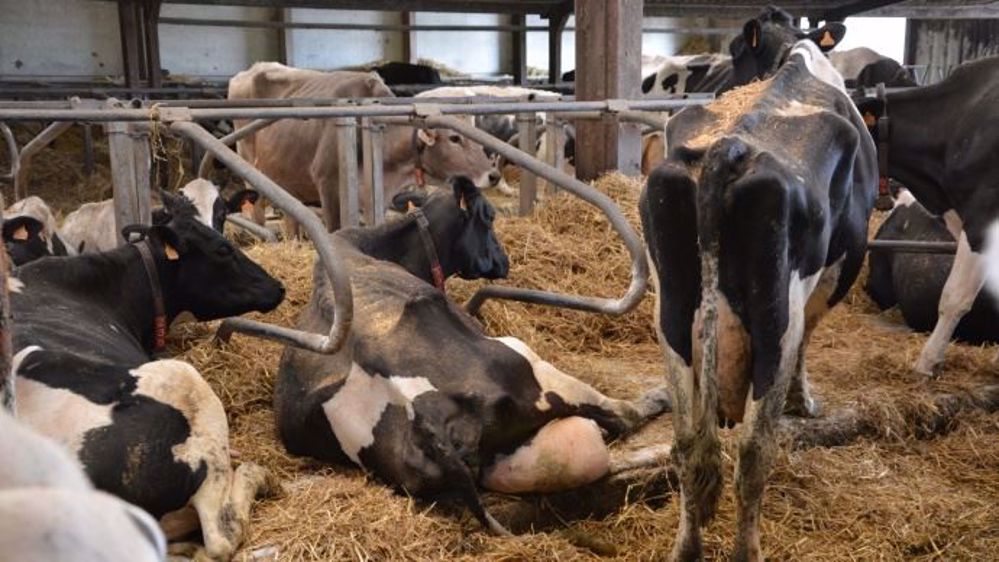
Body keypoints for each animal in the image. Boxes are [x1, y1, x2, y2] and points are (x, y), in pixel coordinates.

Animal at [228, 62, 498, 235]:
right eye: (454, 138)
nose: (493, 175)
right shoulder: (327, 183)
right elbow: (335, 230)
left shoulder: (378, 192)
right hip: (250, 168)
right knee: (259, 212)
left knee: (291, 218)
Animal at [275, 177, 670, 534]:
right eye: (489, 216)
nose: (504, 261)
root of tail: (426, 418)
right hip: (525, 357)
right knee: (621, 415)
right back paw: (660, 396)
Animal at [641, 40, 877, 561]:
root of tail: (729, 146)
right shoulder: (833, 274)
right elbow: (810, 337)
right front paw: (802, 400)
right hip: (775, 324)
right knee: (752, 451)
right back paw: (748, 549)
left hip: (672, 316)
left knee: (689, 444)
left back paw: (686, 548)